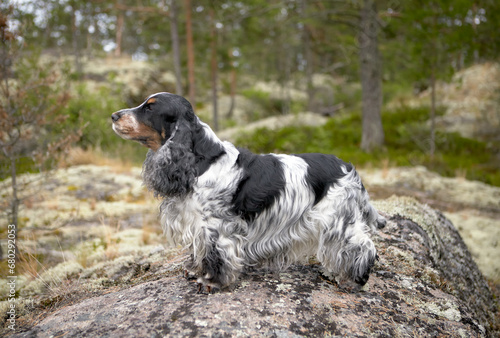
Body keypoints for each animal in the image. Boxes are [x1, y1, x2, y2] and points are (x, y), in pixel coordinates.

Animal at [111, 92, 384, 294]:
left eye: (149, 108)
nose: (113, 115)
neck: (200, 161)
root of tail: (348, 167)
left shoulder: (216, 226)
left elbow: (217, 254)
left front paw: (212, 281)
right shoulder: (197, 223)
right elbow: (199, 251)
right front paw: (196, 270)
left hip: (338, 219)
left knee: (363, 247)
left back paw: (352, 280)